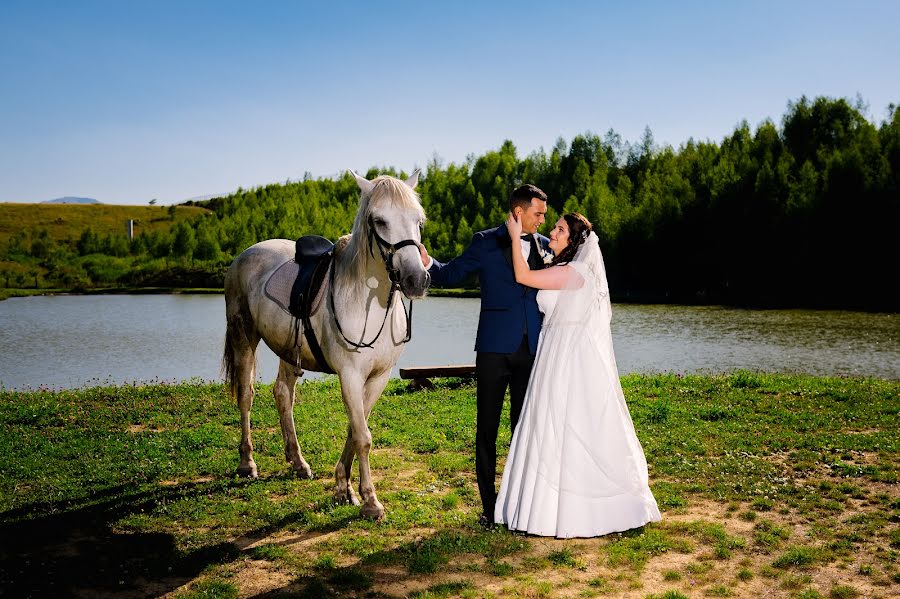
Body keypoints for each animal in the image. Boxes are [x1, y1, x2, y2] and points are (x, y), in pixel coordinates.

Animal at [221, 170, 426, 520]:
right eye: (379, 220)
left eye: (418, 219)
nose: (416, 279)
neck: (366, 301)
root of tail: (244, 256)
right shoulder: (350, 375)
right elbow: (363, 436)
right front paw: (370, 501)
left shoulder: (378, 377)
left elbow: (356, 429)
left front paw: (343, 487)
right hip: (243, 337)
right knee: (246, 395)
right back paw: (248, 463)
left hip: (287, 350)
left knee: (282, 394)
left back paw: (297, 462)